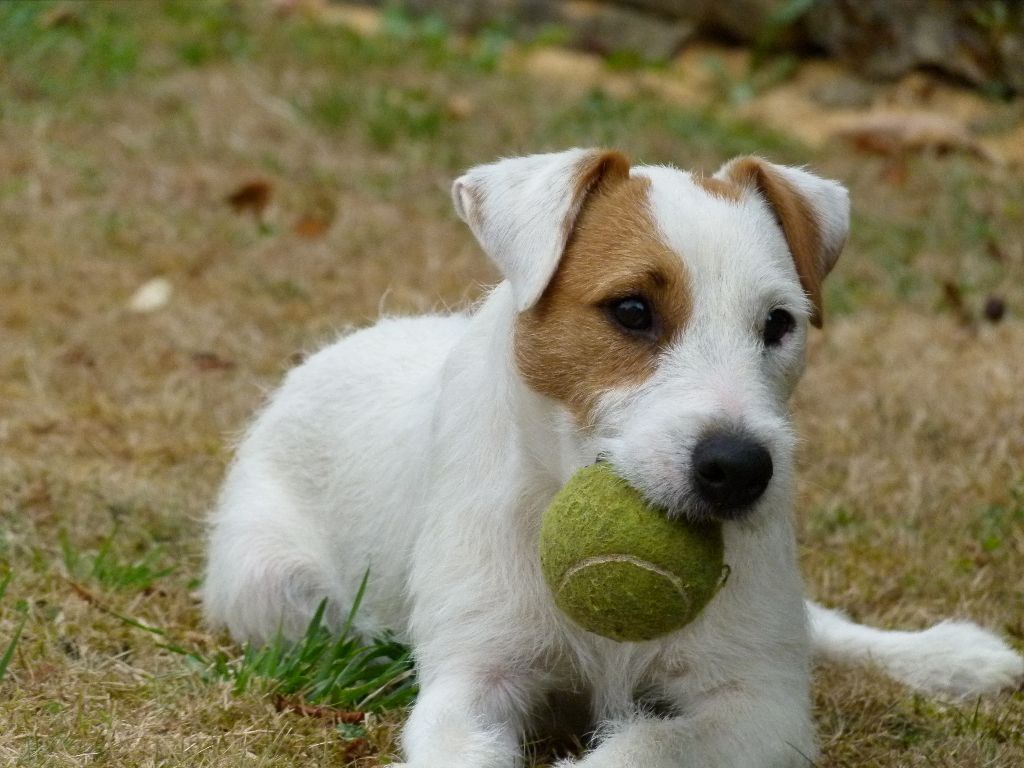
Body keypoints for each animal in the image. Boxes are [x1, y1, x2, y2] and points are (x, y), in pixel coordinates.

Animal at [201, 147, 1024, 765]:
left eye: (779, 324)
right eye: (632, 310)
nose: (740, 468)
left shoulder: (760, 709)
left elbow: (643, 747)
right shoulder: (471, 684)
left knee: (817, 626)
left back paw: (952, 657)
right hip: (269, 586)